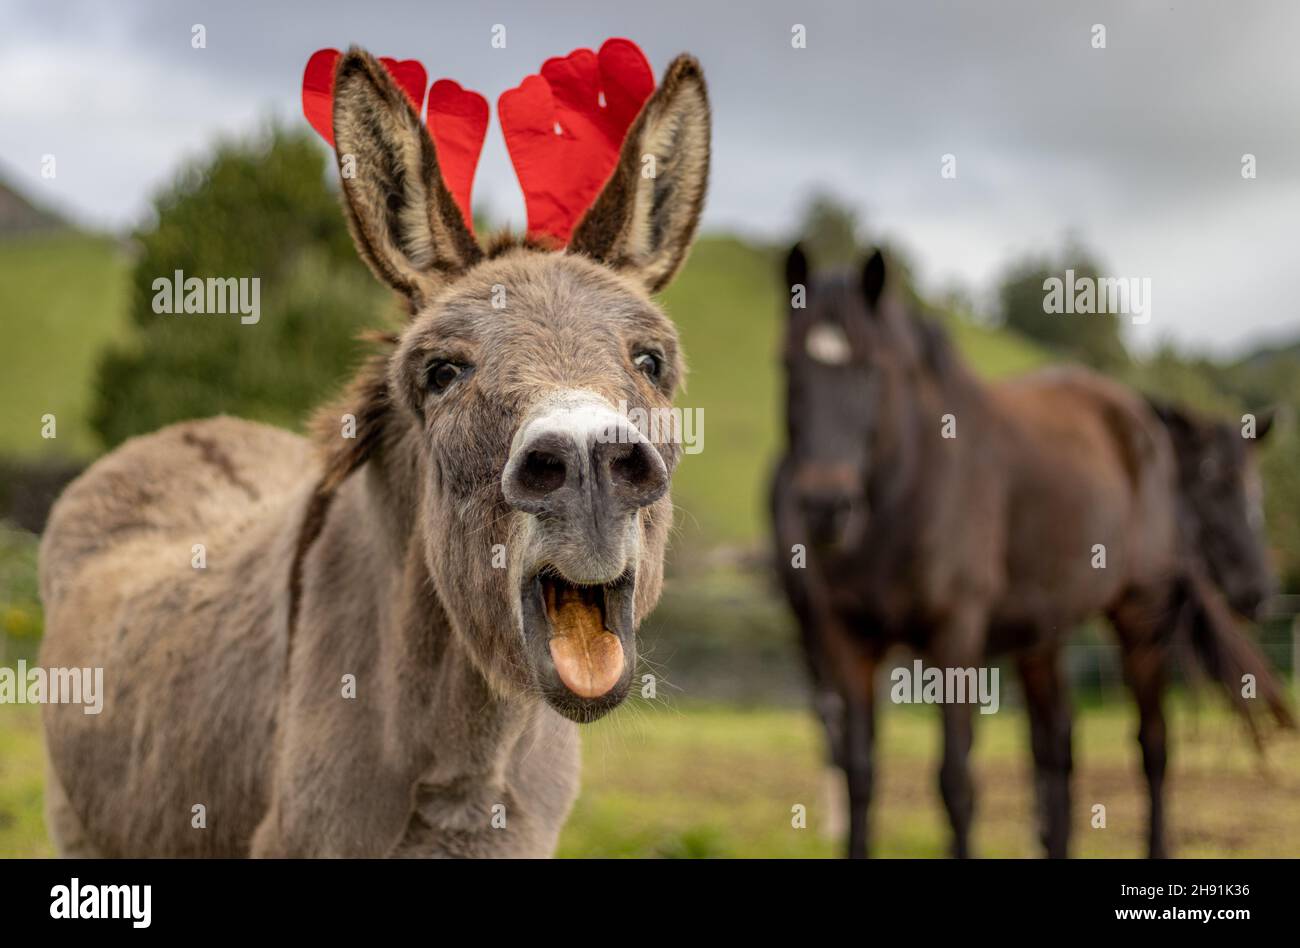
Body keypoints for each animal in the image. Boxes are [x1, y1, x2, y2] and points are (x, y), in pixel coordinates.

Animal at [769, 245, 1289, 858]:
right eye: (788, 368)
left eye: (872, 368)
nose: (826, 506)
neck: (913, 487)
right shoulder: (847, 638)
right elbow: (860, 776)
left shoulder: (957, 637)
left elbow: (955, 781)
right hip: (1042, 635)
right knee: (1060, 749)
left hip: (1139, 616)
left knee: (1152, 747)